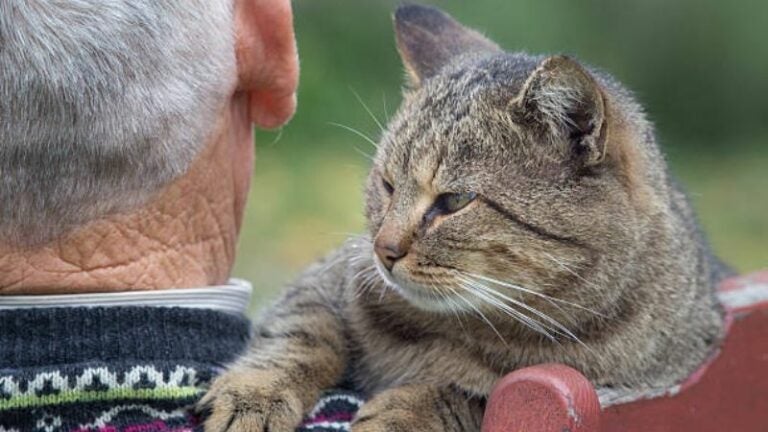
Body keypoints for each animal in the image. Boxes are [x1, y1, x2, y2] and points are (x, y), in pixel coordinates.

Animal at [198, 4, 728, 432]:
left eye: (454, 202)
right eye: (388, 184)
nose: (383, 250)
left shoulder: (606, 387)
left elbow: (474, 393)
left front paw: (405, 409)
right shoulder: (328, 277)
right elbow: (300, 333)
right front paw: (254, 393)